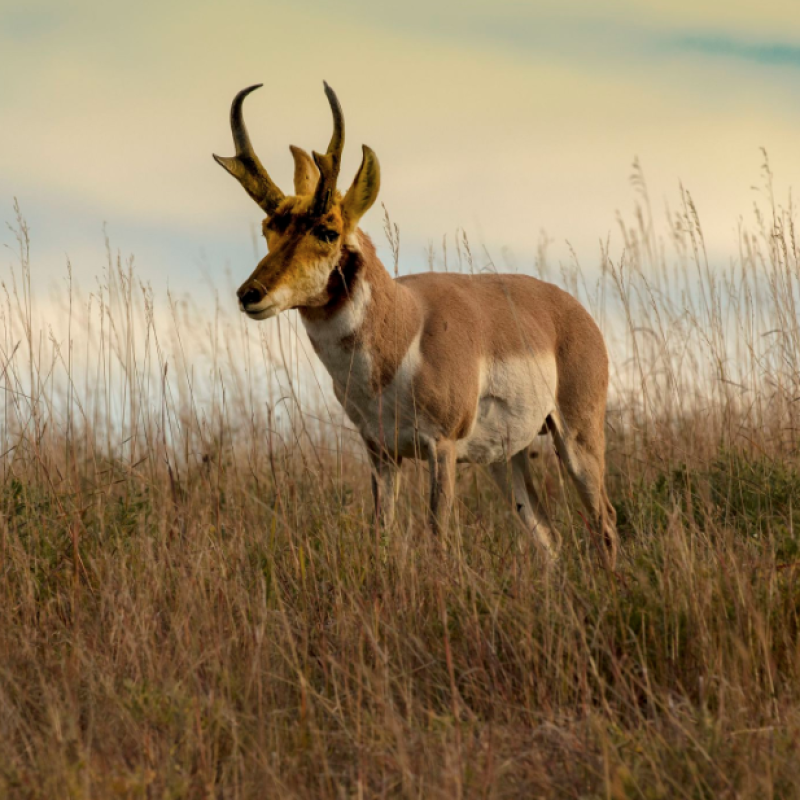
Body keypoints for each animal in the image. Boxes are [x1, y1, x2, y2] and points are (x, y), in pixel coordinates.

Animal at [214, 83, 620, 568]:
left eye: (328, 230)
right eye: (268, 229)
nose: (249, 294)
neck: (406, 326)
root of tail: (572, 310)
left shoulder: (441, 448)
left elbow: (436, 538)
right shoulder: (381, 452)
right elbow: (382, 536)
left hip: (577, 438)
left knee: (605, 521)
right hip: (506, 459)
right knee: (548, 536)